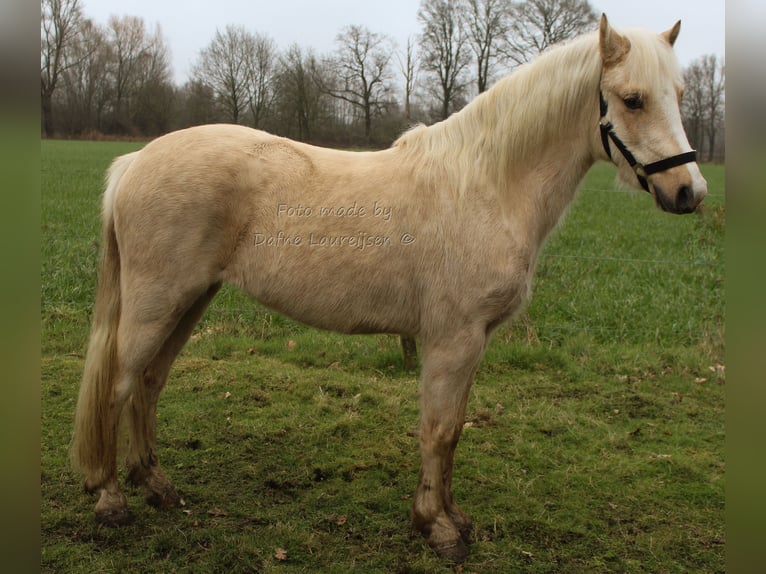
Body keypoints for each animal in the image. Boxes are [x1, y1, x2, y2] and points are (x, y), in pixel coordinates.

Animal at [72, 16, 708, 564]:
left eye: (678, 93)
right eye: (632, 99)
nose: (689, 191)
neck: (487, 185)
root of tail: (135, 162)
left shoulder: (473, 341)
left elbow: (454, 430)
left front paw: (454, 517)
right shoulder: (453, 340)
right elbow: (439, 430)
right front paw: (438, 529)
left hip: (190, 299)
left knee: (149, 384)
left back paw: (157, 486)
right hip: (157, 302)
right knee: (120, 384)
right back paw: (110, 500)